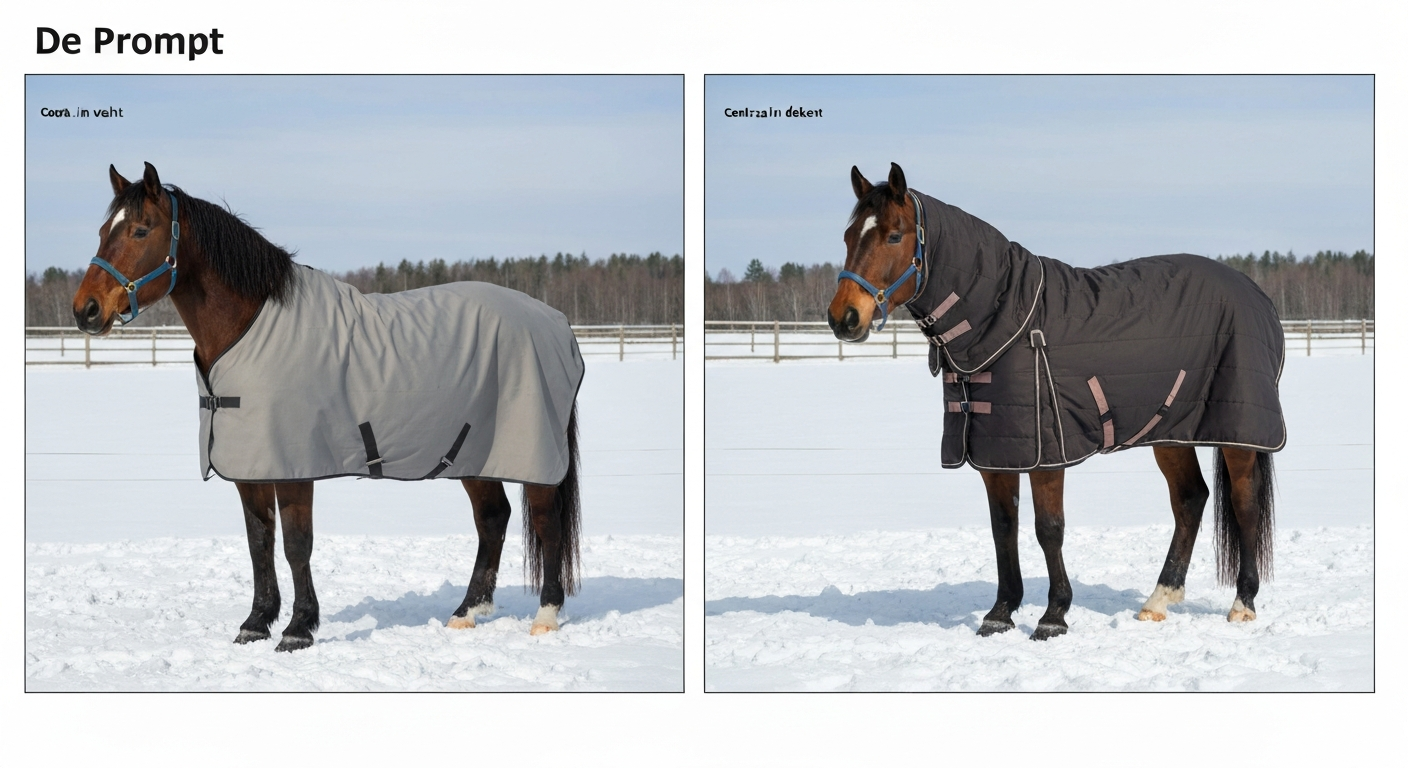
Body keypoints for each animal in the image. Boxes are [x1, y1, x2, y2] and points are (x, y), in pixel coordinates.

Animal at [73, 162, 584, 652]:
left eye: (141, 230)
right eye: (101, 231)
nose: (85, 310)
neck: (249, 326)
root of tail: (557, 322)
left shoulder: (294, 467)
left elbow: (296, 545)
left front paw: (298, 629)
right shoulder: (250, 467)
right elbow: (259, 542)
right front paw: (255, 624)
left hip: (533, 453)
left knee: (546, 522)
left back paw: (545, 616)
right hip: (473, 453)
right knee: (493, 519)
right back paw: (467, 612)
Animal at [829, 163, 1282, 641]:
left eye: (894, 237)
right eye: (848, 236)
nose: (843, 318)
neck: (1006, 321)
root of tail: (1257, 296)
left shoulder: (1045, 451)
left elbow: (1049, 529)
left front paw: (1053, 616)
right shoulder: (995, 454)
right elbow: (1003, 529)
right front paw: (1000, 612)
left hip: (1238, 434)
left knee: (1244, 505)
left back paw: (1243, 604)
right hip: (1171, 432)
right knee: (1191, 499)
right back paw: (1158, 600)